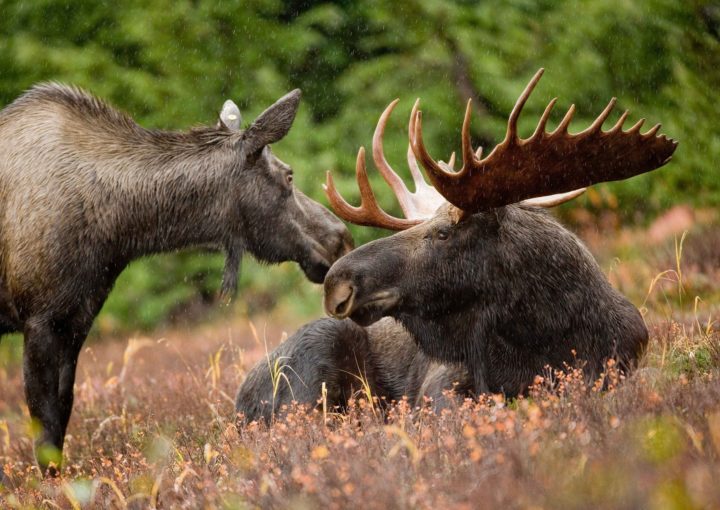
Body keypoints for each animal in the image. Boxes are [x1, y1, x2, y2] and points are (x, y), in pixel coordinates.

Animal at [0, 84, 352, 474]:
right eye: (288, 175)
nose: (341, 238)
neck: (118, 230)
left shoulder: (75, 319)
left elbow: (61, 414)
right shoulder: (39, 319)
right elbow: (44, 426)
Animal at [236, 69, 676, 424]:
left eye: (444, 233)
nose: (337, 282)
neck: (546, 334)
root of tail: (238, 403)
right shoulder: (443, 383)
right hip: (315, 357)